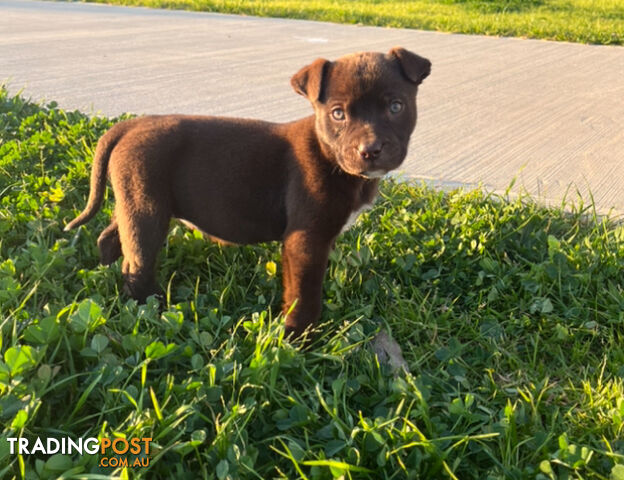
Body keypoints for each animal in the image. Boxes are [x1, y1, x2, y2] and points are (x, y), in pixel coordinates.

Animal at [66, 47, 432, 336]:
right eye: (338, 114)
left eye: (396, 107)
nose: (370, 150)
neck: (330, 158)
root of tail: (130, 125)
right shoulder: (306, 241)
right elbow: (305, 295)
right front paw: (299, 338)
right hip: (147, 210)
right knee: (136, 264)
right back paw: (153, 309)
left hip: (134, 200)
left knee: (111, 238)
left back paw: (104, 274)